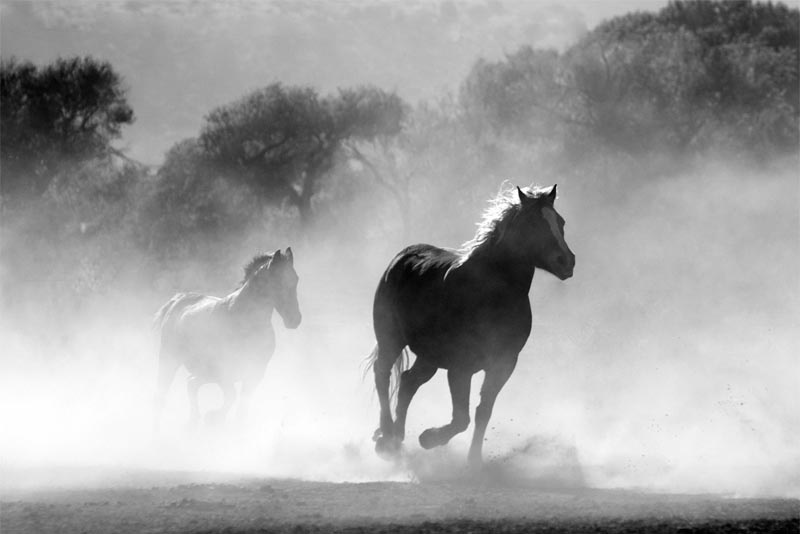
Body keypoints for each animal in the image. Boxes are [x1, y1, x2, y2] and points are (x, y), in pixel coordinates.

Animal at [152, 249, 300, 430]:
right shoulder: (224, 372)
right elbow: (232, 396)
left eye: (296, 279)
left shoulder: (255, 374)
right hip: (170, 360)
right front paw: (213, 417)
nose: (295, 320)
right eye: (278, 282)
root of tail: (178, 300)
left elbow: (242, 408)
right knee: (162, 394)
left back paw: (193, 421)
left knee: (191, 384)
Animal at [368, 186, 576, 466]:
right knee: (382, 374)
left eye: (560, 222)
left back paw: (397, 437)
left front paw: (474, 460)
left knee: (408, 381)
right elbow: (461, 418)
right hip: (391, 339)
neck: (491, 294)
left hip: (429, 356)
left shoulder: (503, 363)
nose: (567, 261)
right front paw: (429, 438)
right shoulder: (460, 367)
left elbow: (483, 412)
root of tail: (402, 257)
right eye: (533, 223)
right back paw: (387, 438)